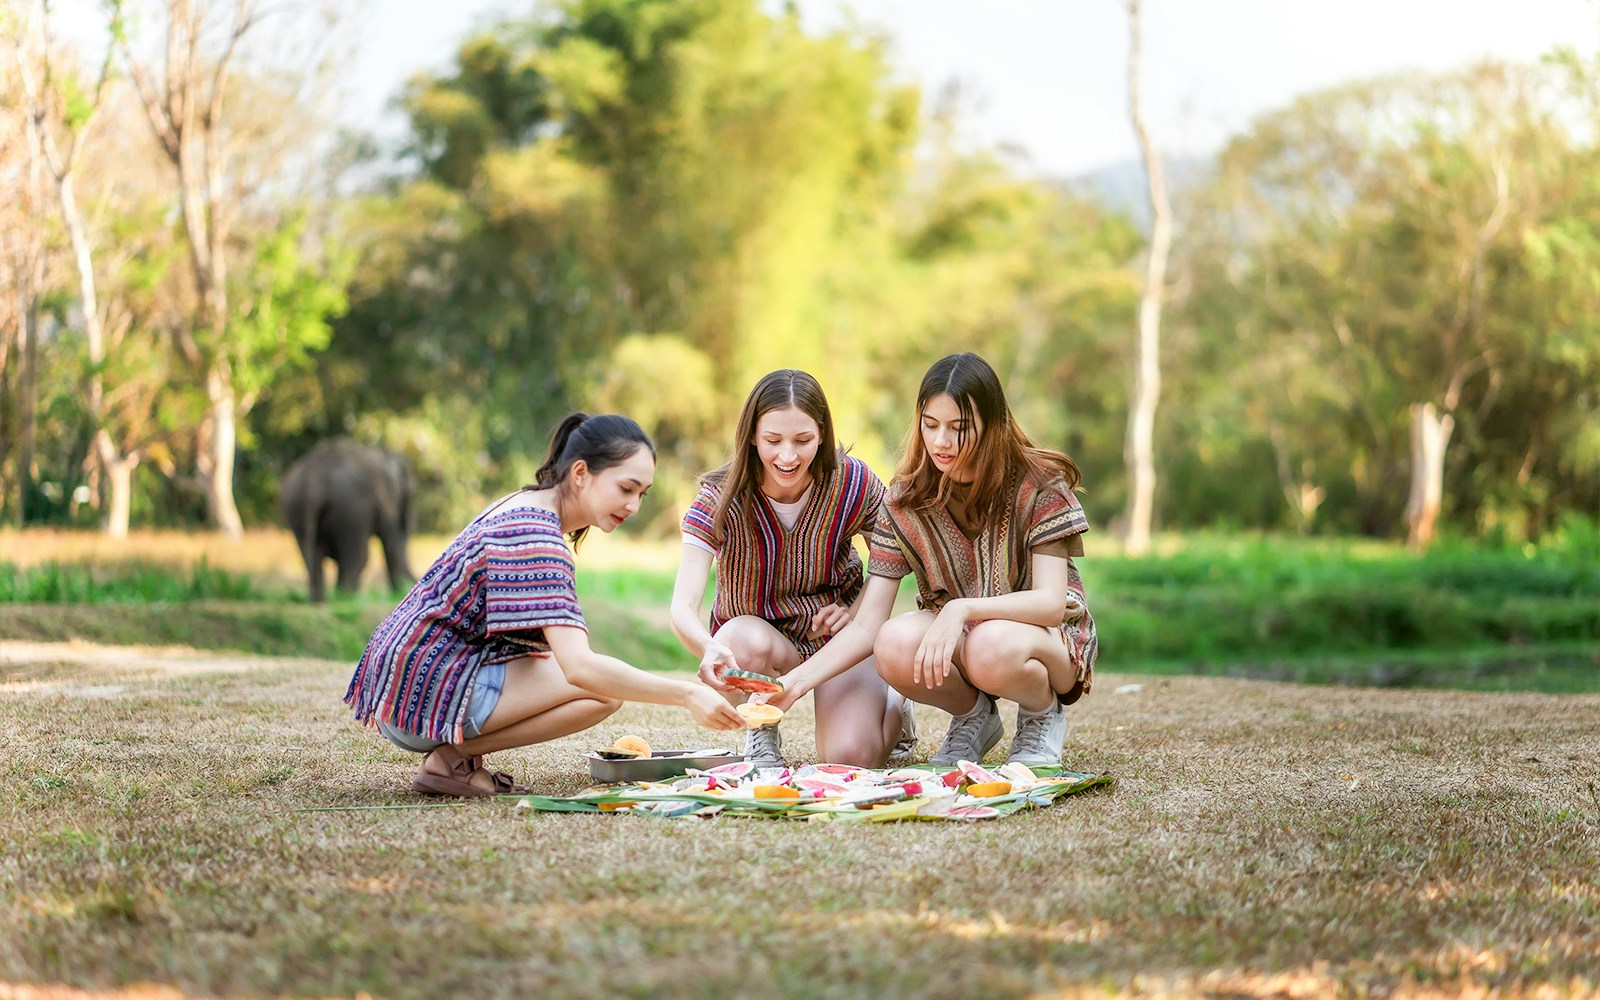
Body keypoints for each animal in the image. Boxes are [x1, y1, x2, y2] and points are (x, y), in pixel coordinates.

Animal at [281, 441, 419, 601]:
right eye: (411, 492)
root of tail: (313, 479)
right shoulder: (386, 497)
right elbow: (391, 541)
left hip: (296, 506)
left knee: (313, 553)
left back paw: (323, 600)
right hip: (352, 508)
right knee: (358, 555)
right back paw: (346, 597)